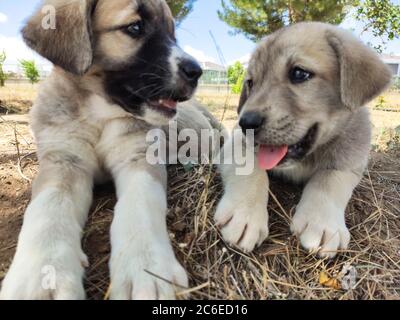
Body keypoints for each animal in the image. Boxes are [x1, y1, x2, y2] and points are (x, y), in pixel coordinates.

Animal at [0, 0, 219, 300]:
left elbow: (141, 205)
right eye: (135, 27)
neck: (99, 114)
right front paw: (41, 274)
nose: (196, 71)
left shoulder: (139, 157)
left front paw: (147, 268)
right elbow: (47, 209)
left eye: (172, 33)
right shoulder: (63, 160)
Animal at [217, 21, 392, 258]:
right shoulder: (236, 143)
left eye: (299, 73)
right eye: (251, 83)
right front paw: (244, 214)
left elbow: (328, 180)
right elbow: (251, 172)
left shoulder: (349, 164)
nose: (246, 123)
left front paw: (321, 223)